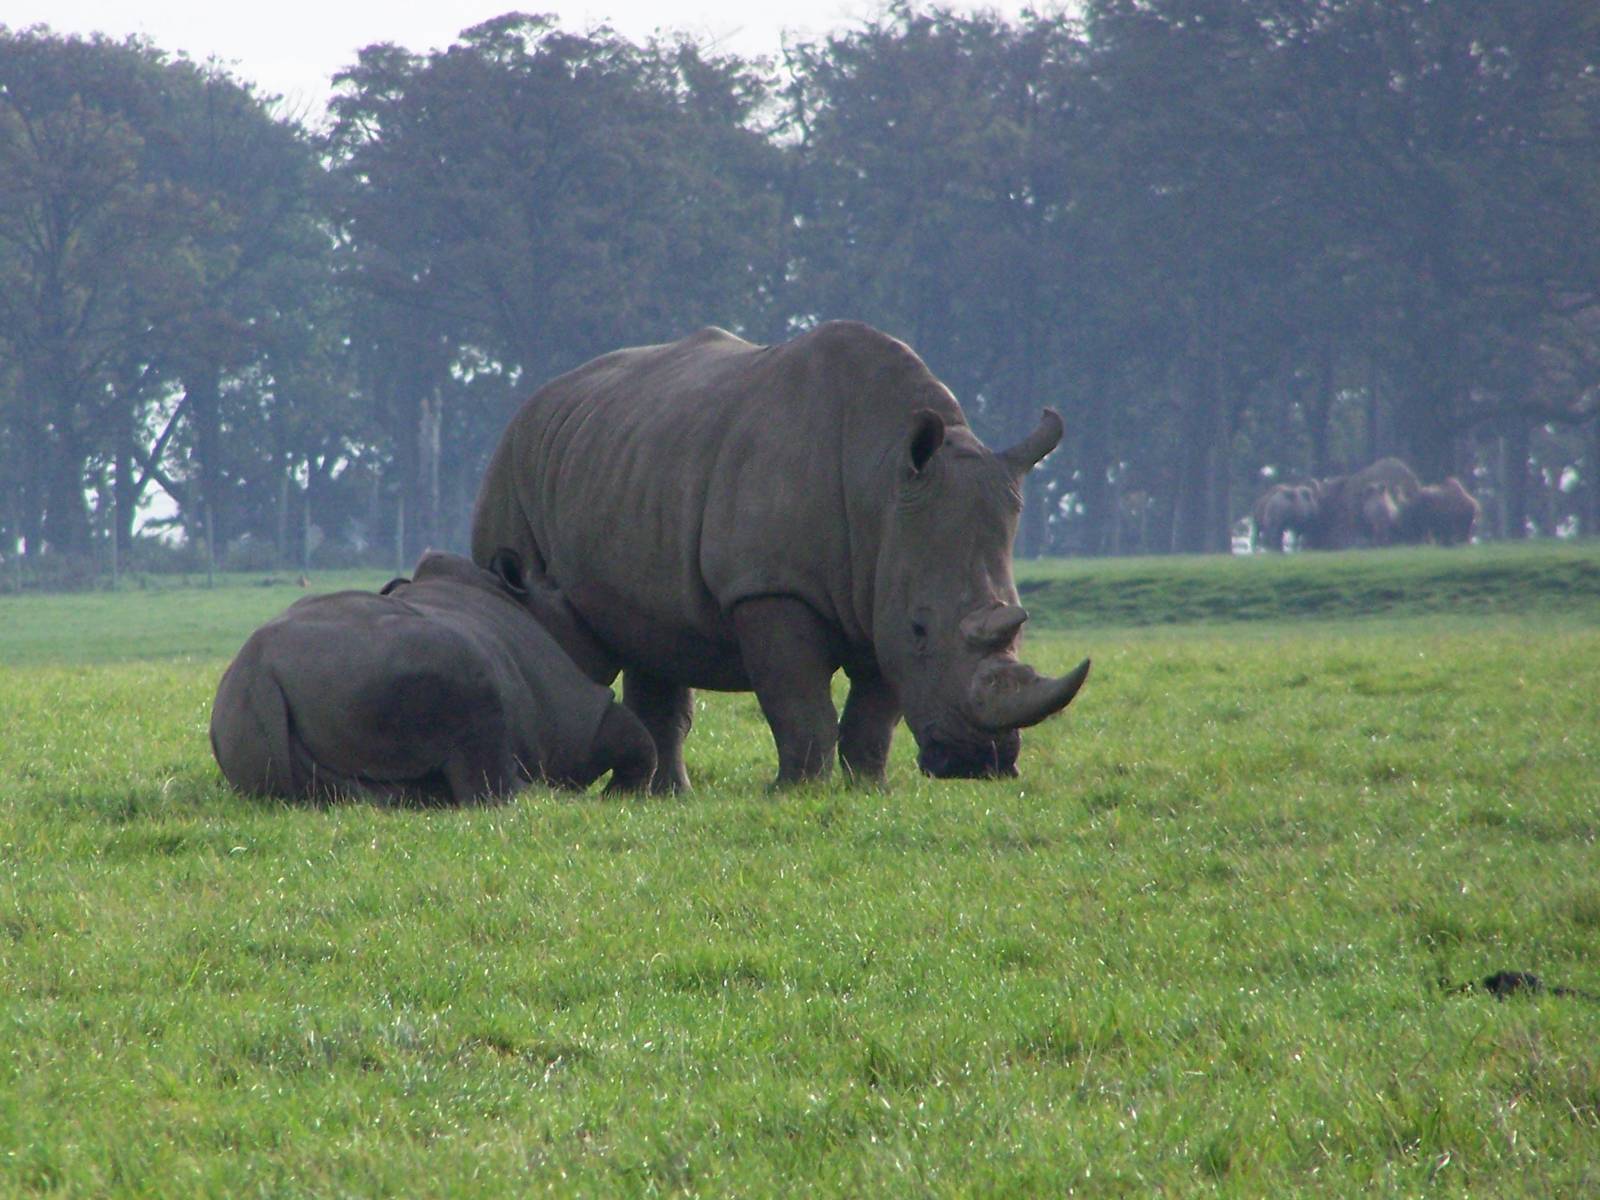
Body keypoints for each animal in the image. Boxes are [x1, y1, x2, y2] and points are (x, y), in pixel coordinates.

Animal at [209, 551, 656, 803]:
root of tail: (257, 677)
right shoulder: (578, 715)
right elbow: (632, 735)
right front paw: (623, 794)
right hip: (400, 662)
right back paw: (542, 796)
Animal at [472, 321, 1090, 789]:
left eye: (1020, 625)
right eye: (922, 628)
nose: (980, 764)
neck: (881, 481)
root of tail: (534, 401)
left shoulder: (882, 585)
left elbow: (875, 712)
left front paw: (868, 788)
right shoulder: (769, 585)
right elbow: (798, 702)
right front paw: (797, 792)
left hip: (629, 458)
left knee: (652, 634)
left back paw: (660, 797)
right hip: (512, 470)